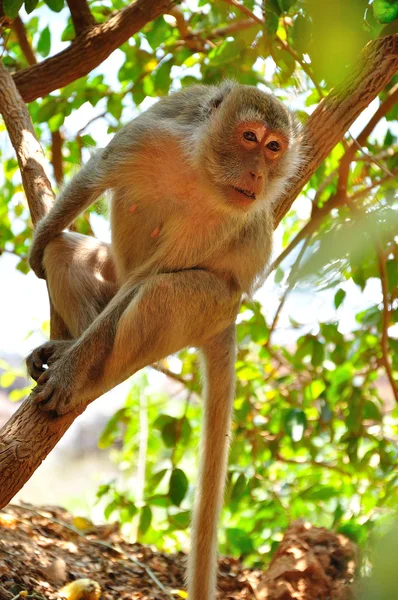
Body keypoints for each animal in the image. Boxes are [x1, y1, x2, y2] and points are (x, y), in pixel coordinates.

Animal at [26, 81, 300, 600]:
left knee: (155, 294)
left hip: (211, 305)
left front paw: (70, 373)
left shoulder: (222, 221)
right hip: (115, 271)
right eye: (250, 137)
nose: (259, 172)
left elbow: (153, 276)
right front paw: (39, 239)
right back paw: (67, 342)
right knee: (72, 255)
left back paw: (87, 378)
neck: (202, 172)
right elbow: (95, 176)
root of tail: (230, 317)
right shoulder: (153, 134)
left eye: (275, 147)